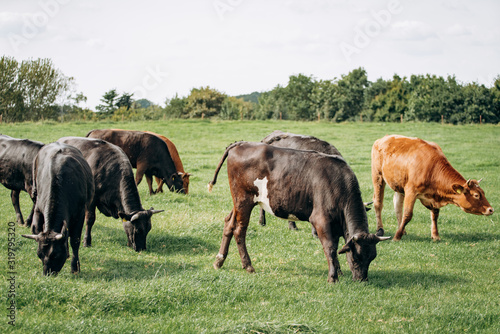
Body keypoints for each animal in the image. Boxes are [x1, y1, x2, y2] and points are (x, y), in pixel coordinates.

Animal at [21, 142, 94, 276]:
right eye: (39, 255)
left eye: (55, 255)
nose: (47, 274)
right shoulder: (39, 209)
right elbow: (37, 228)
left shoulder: (79, 214)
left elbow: (75, 240)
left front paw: (75, 267)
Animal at [208, 141, 390, 282]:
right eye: (356, 257)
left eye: (372, 257)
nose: (362, 279)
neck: (339, 186)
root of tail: (241, 144)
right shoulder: (320, 220)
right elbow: (330, 248)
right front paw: (333, 277)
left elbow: (337, 246)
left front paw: (338, 271)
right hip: (244, 200)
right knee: (240, 230)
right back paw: (248, 265)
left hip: (239, 202)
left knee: (229, 224)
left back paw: (219, 260)